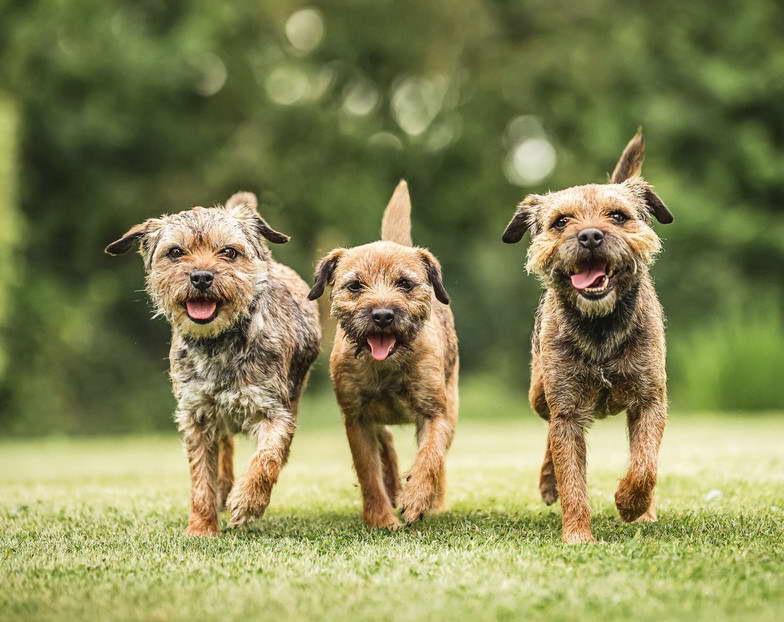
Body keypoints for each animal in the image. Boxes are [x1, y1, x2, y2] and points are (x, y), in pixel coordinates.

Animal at [105, 194, 320, 536]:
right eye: (175, 252)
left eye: (229, 252)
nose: (201, 277)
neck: (218, 343)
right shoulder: (197, 416)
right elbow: (201, 478)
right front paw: (201, 528)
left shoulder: (274, 411)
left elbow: (267, 458)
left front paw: (247, 501)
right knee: (225, 449)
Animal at [308, 182, 460, 532]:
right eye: (354, 286)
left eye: (405, 283)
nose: (382, 315)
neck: (387, 366)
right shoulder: (357, 420)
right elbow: (368, 472)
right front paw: (380, 518)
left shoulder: (435, 413)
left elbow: (430, 456)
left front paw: (416, 499)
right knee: (386, 446)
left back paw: (432, 500)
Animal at [502, 132, 672, 544]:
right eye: (561, 222)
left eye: (618, 216)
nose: (590, 235)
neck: (600, 329)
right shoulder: (566, 411)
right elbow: (572, 480)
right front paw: (579, 536)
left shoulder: (650, 401)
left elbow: (644, 464)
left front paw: (630, 503)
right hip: (539, 394)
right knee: (549, 437)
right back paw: (548, 482)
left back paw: (645, 510)